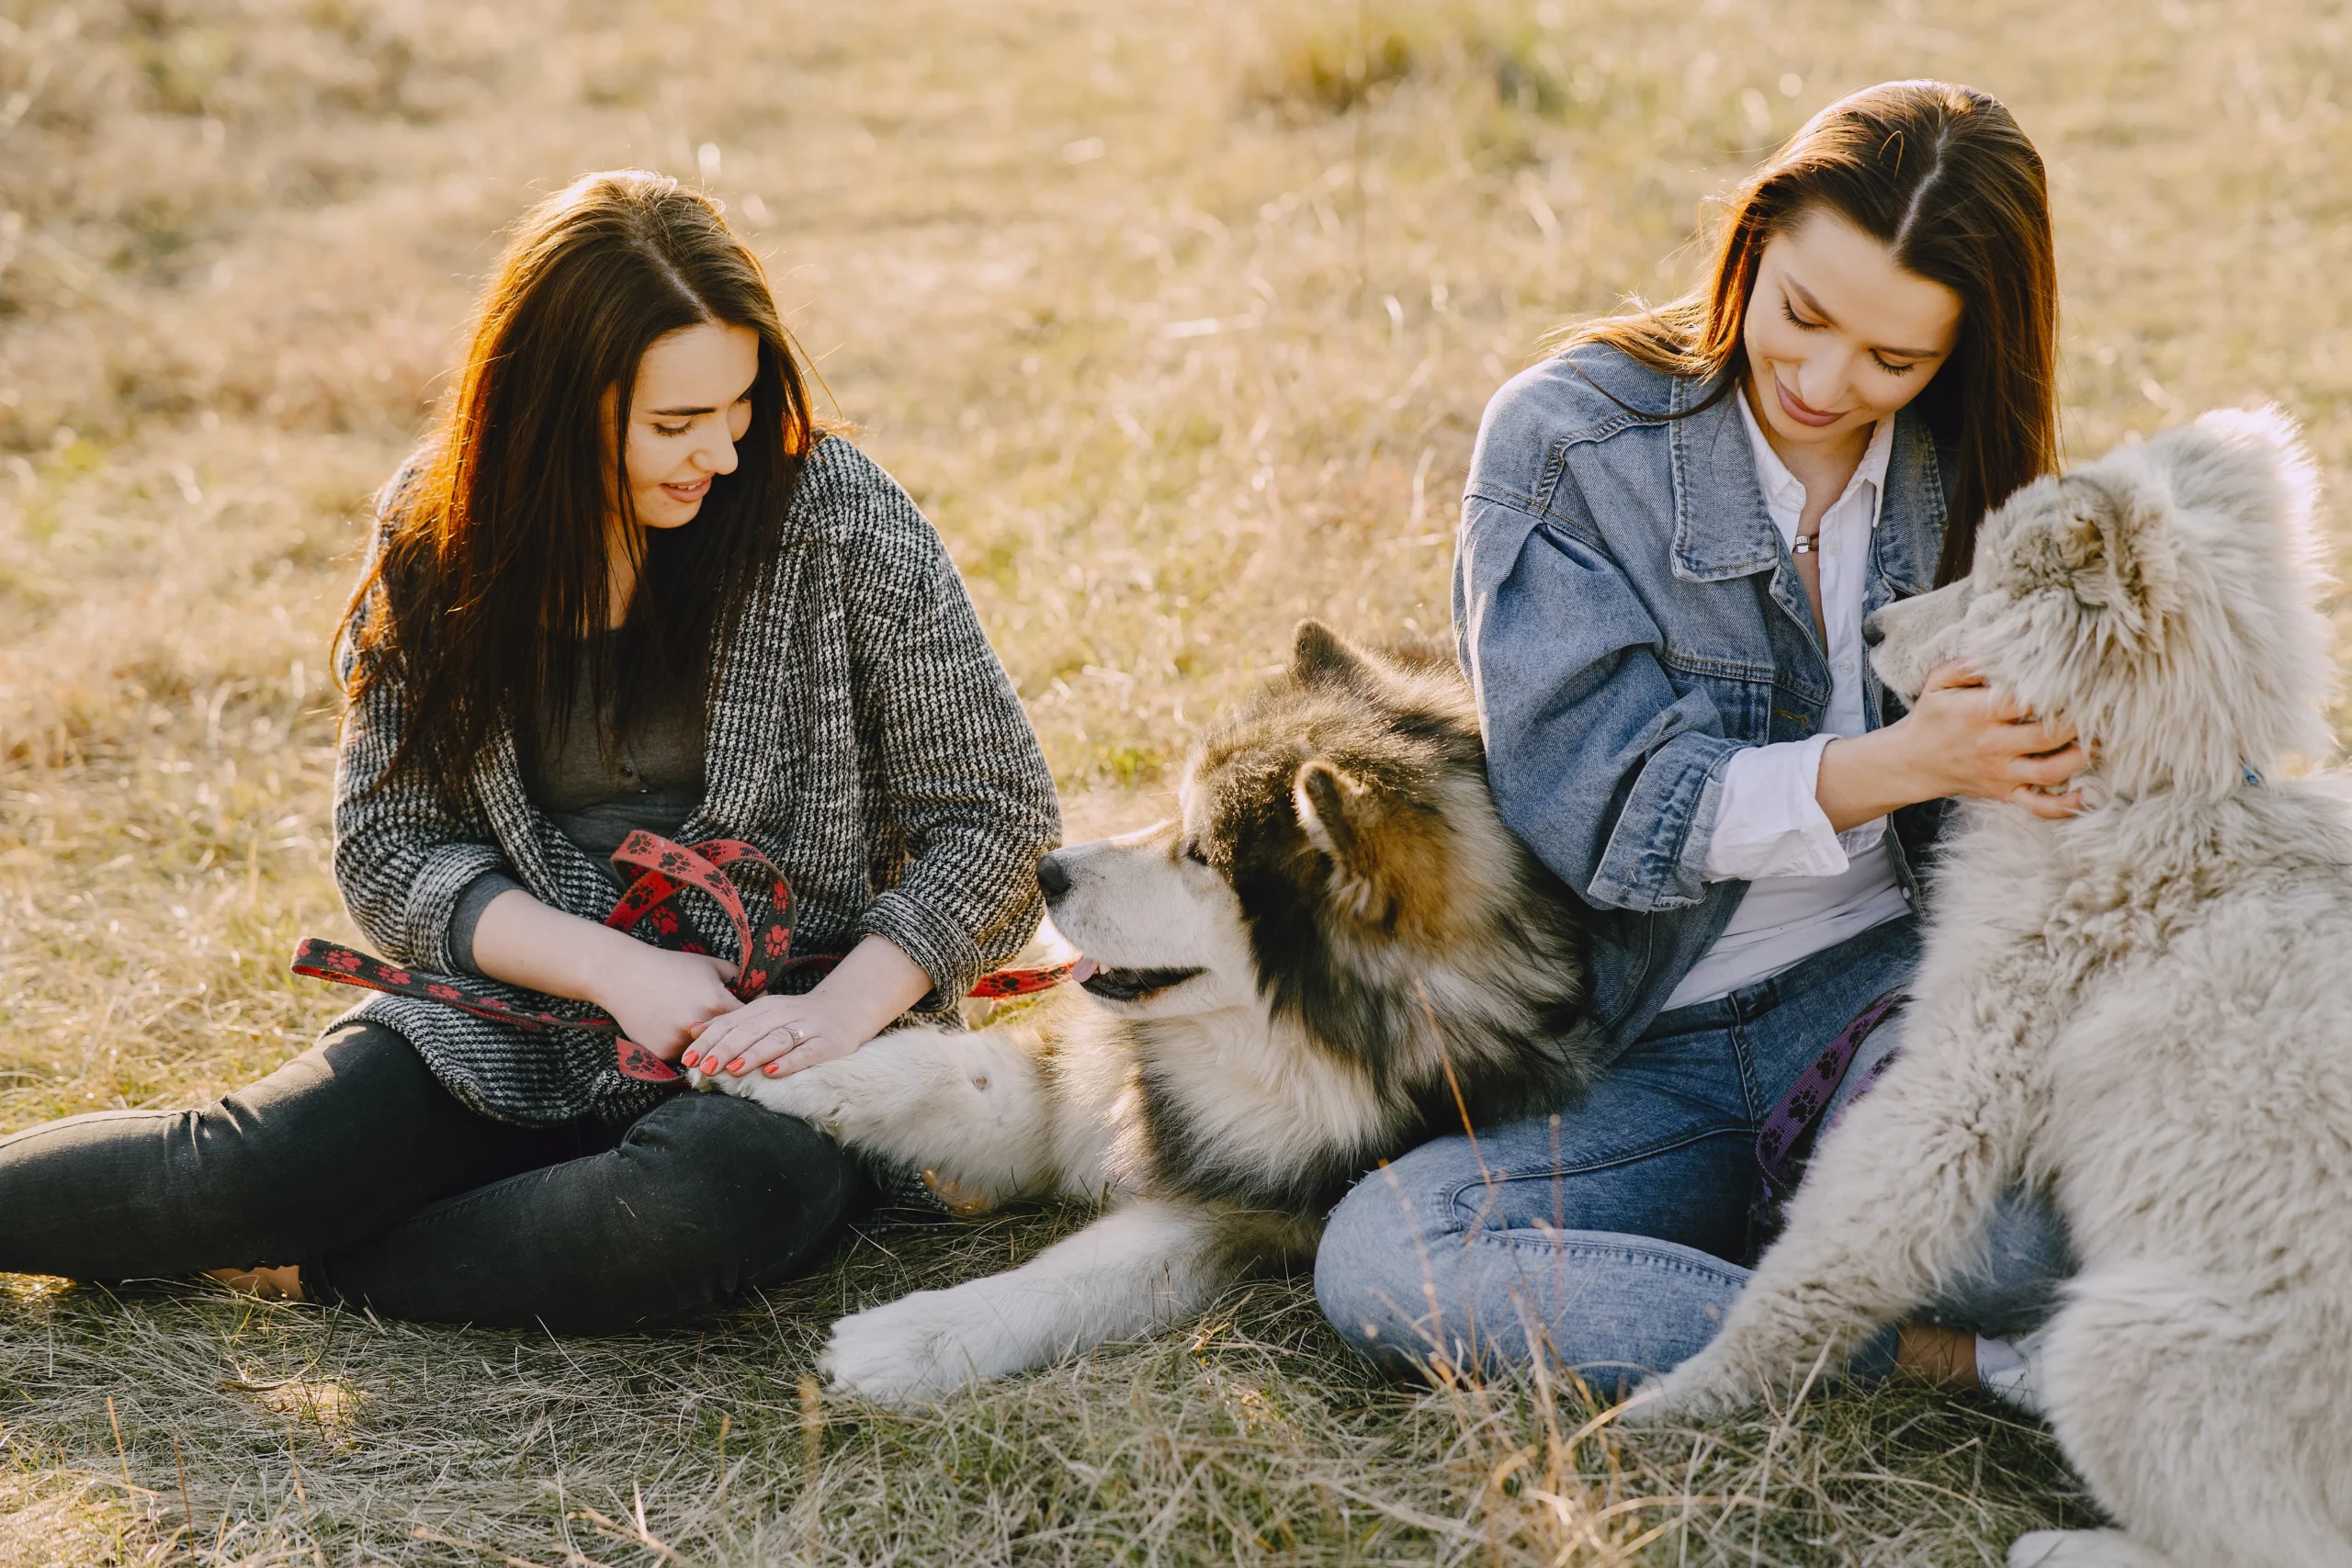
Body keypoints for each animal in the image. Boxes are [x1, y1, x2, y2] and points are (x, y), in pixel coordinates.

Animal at [710, 620, 1599, 1401]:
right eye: (1178, 814)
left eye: (1201, 855)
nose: (1048, 870)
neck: (1274, 1052)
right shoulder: (1083, 1086)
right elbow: (941, 1075)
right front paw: (788, 1053)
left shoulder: (1254, 1206)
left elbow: (1080, 1277)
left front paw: (912, 1338)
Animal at [1627, 411, 2352, 1568]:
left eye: (1994, 583)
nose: (1872, 627)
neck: (2147, 797)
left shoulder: (1957, 1077)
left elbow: (1818, 1260)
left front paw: (1677, 1400)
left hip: (2118, 1345)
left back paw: (2062, 1546)